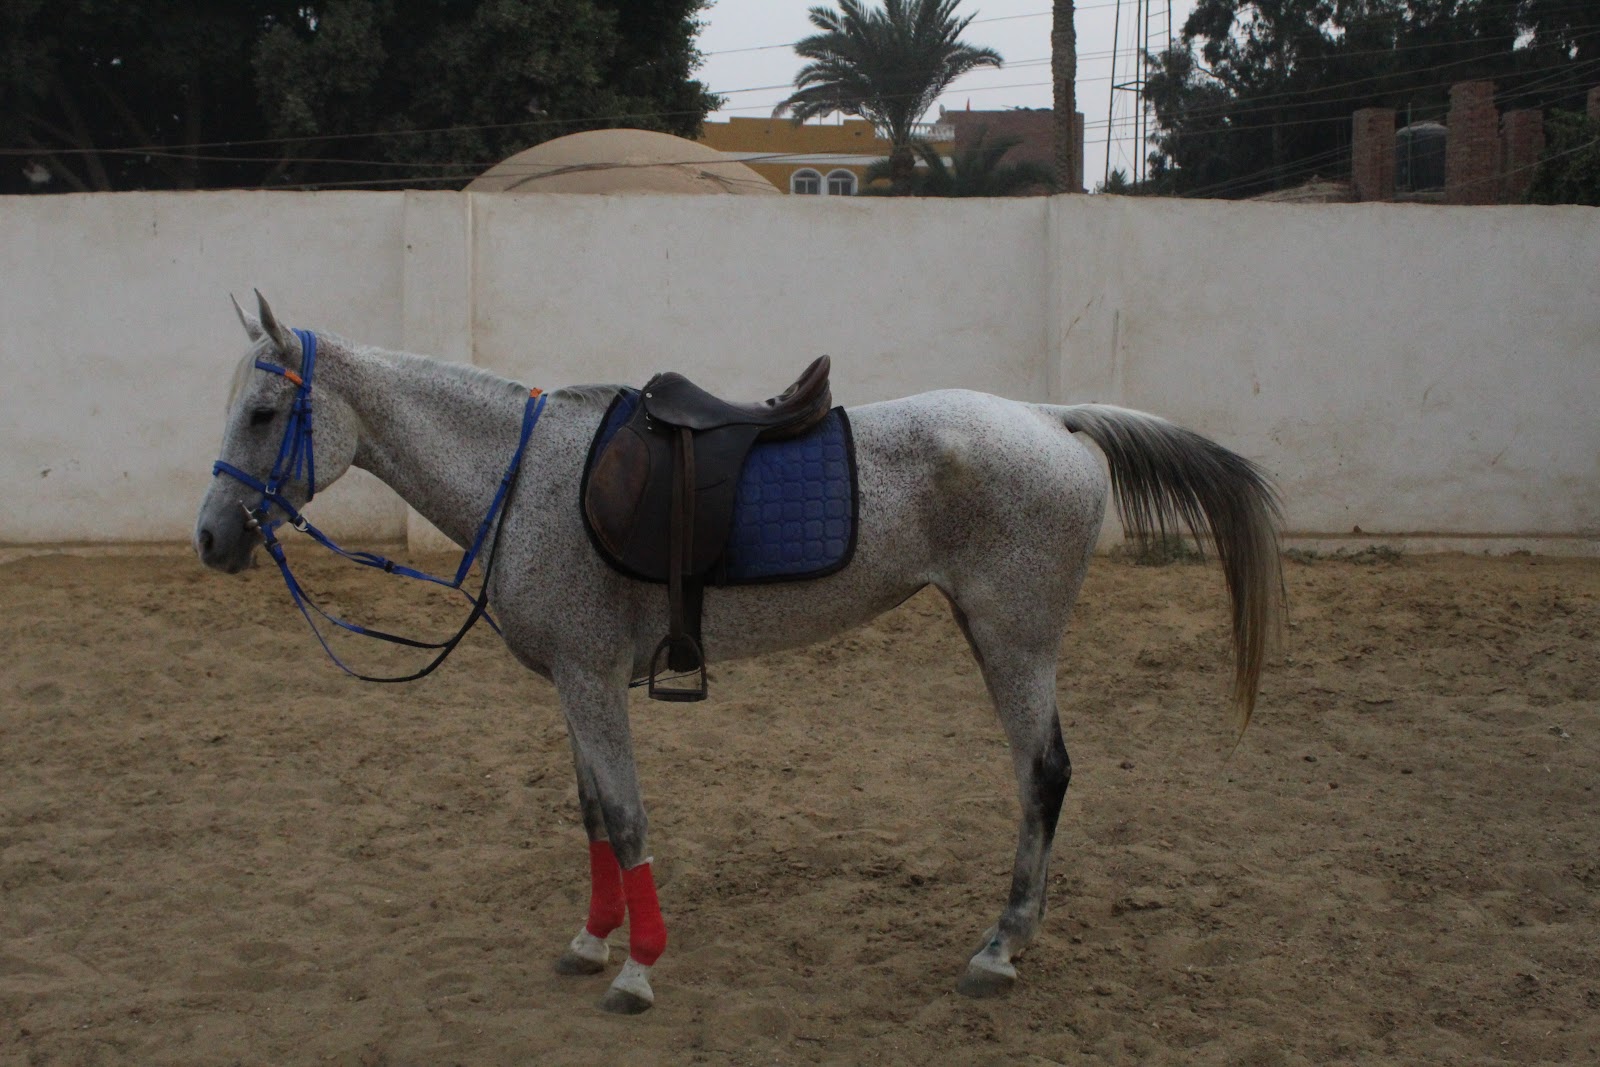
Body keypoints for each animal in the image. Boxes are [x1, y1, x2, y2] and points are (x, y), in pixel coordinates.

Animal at [195, 293, 1283, 1014]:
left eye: (263, 413)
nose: (211, 537)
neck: (527, 474)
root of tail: (1050, 419)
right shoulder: (572, 683)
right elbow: (592, 814)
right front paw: (591, 940)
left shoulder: (593, 679)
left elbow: (627, 815)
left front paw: (640, 966)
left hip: (1013, 638)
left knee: (1044, 773)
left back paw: (1000, 945)